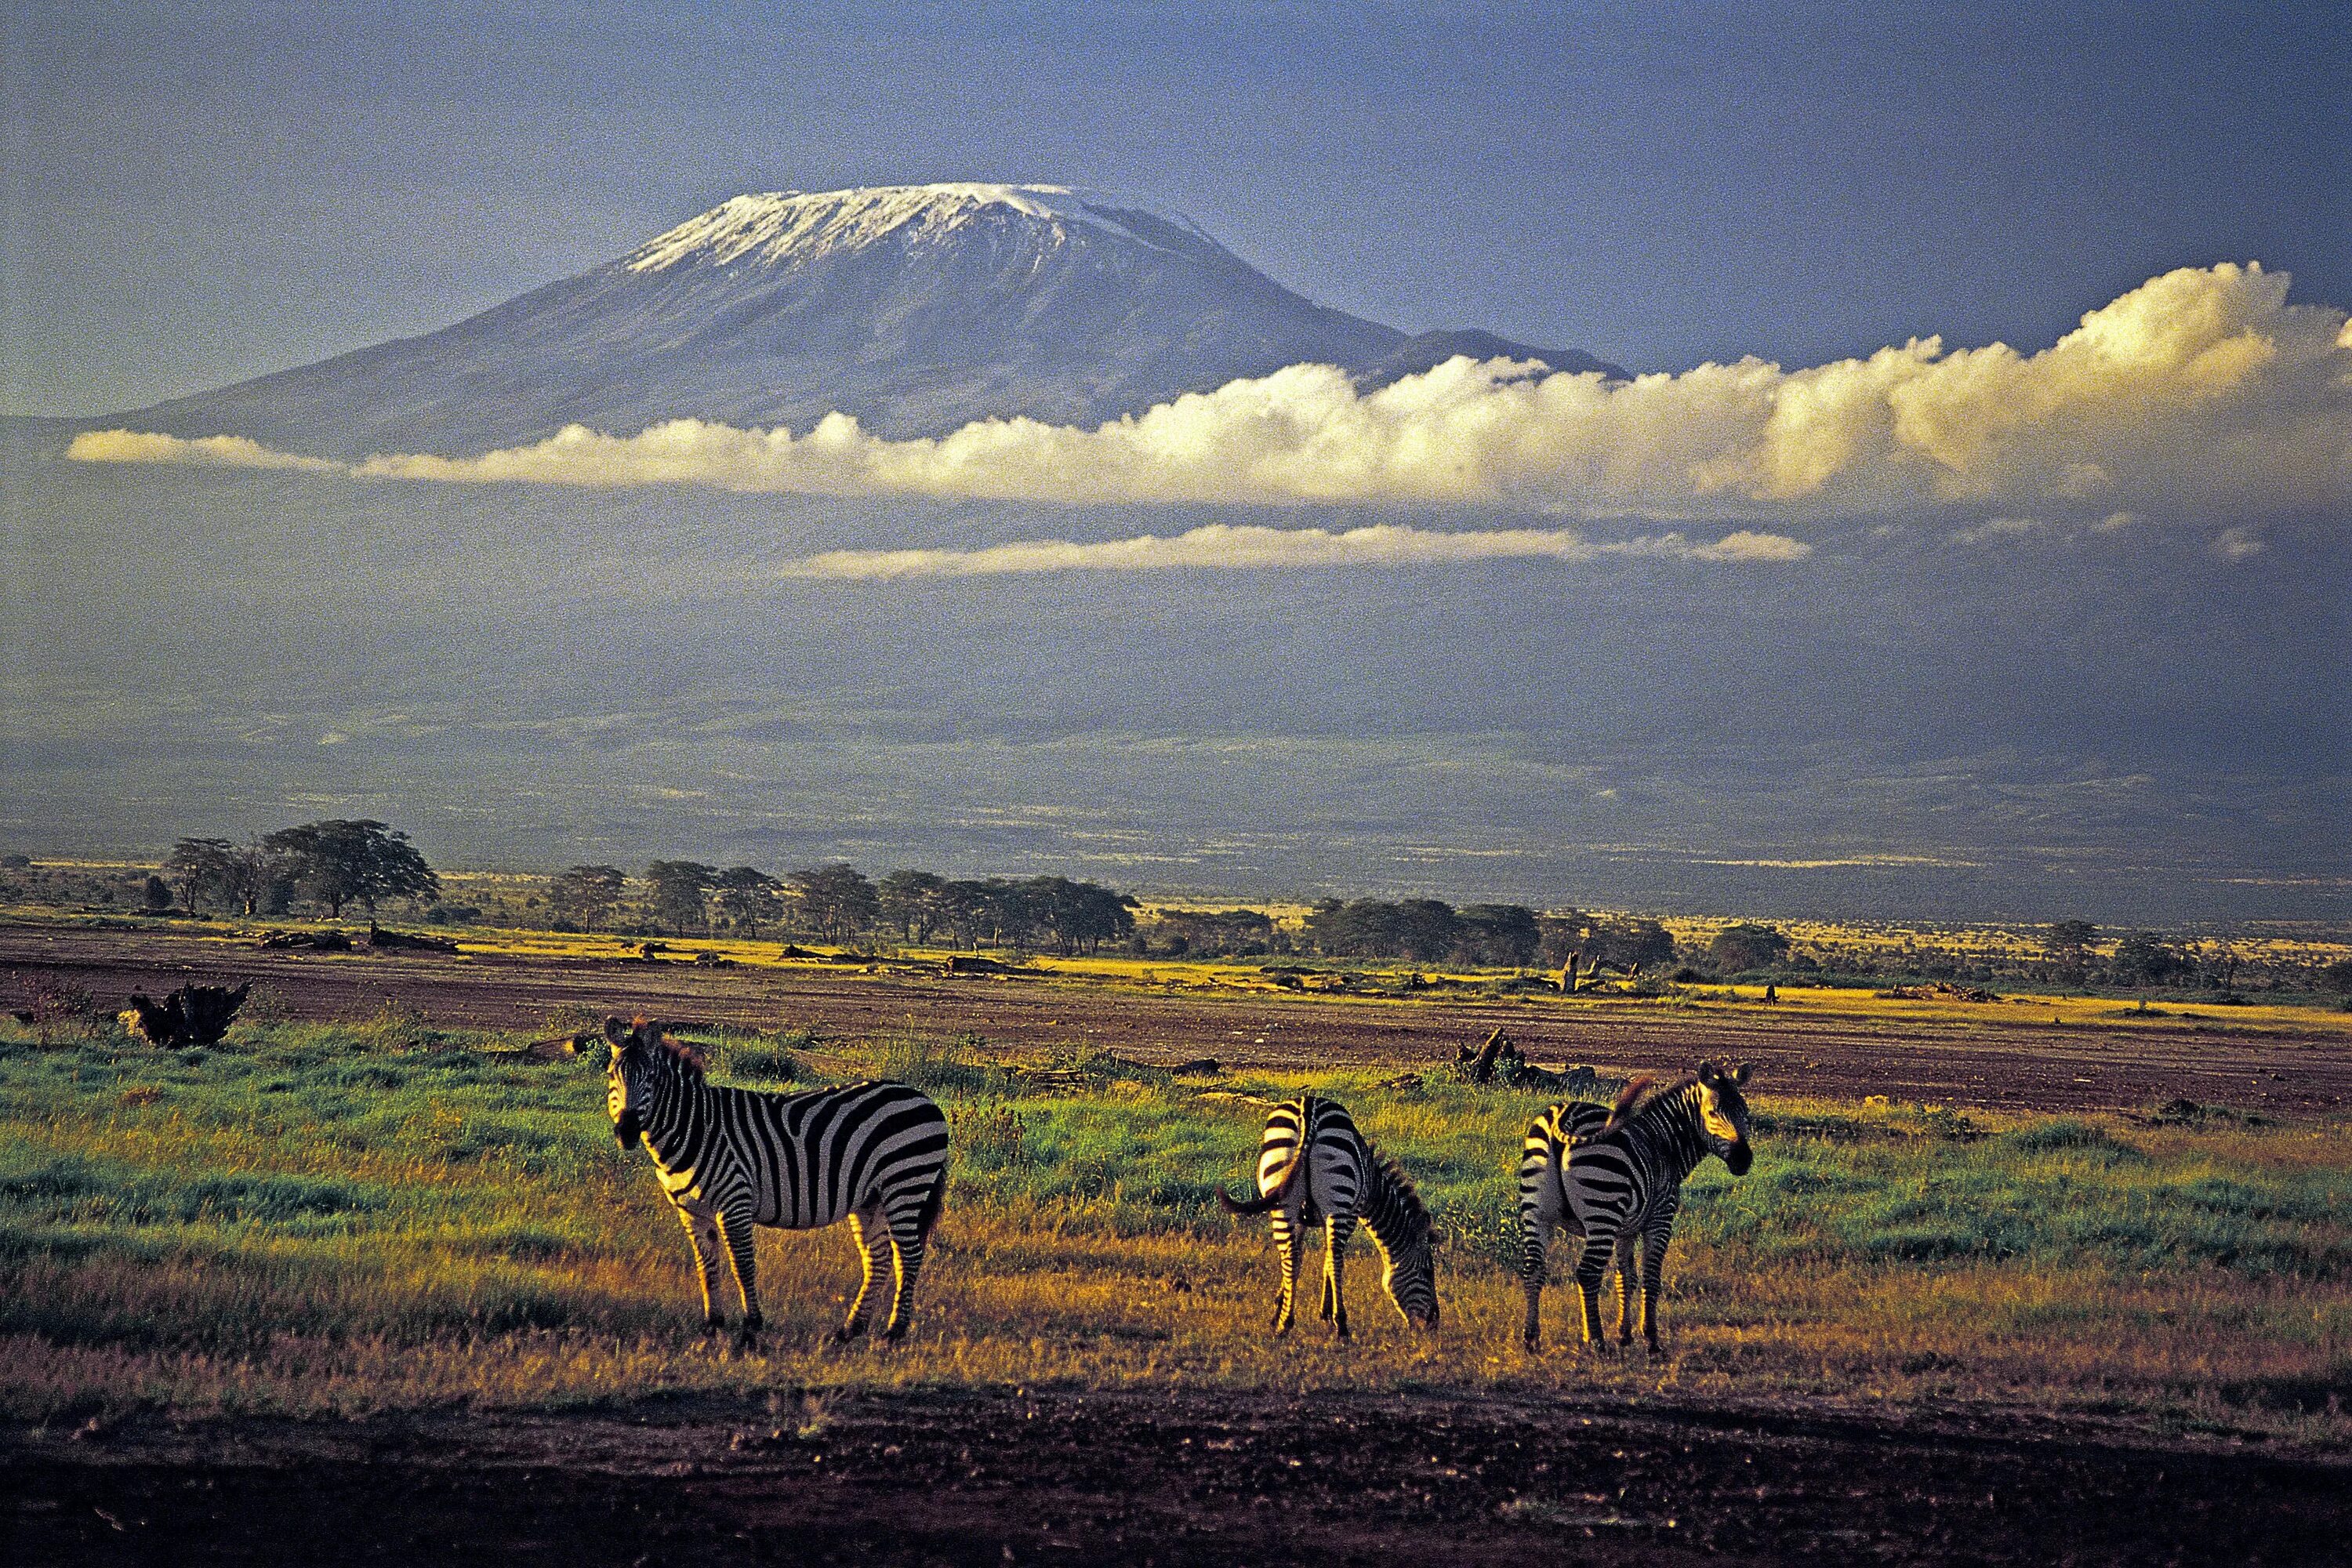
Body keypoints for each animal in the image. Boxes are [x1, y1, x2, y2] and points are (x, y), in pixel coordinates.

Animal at [607, 1025, 955, 1345]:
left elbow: (743, 1265)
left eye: (651, 1079)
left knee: (908, 1256)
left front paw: (751, 1327)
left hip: (906, 1183)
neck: (695, 1128)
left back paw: (895, 1332)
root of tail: (926, 1099)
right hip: (873, 1198)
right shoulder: (691, 1211)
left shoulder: (735, 1200)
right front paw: (713, 1326)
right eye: (611, 1076)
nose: (626, 1131)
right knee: (878, 1259)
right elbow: (707, 1267)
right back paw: (850, 1330)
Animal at [1223, 1100, 1439, 1345]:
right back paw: (1342, 1326)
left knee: (1289, 1254)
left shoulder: (1304, 1219)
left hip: (1282, 1197)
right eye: (1427, 1272)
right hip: (1340, 1202)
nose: (1434, 1323)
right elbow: (1328, 1260)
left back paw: (1285, 1325)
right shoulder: (1350, 1211)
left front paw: (1280, 1308)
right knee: (1336, 1260)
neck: (1374, 1187)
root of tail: (1308, 1111)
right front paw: (1326, 1313)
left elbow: (1298, 1258)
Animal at [1524, 1062, 1750, 1354]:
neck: (1664, 1146)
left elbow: (1626, 1278)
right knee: (1587, 1273)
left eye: (1745, 1112)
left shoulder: (1626, 1229)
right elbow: (1651, 1278)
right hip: (1603, 1209)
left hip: (1537, 1212)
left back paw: (1532, 1339)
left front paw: (1625, 1334)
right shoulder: (1660, 1218)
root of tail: (1563, 1116)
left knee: (1534, 1269)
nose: (1744, 1160)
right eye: (1712, 1112)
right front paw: (1651, 1339)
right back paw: (1595, 1340)